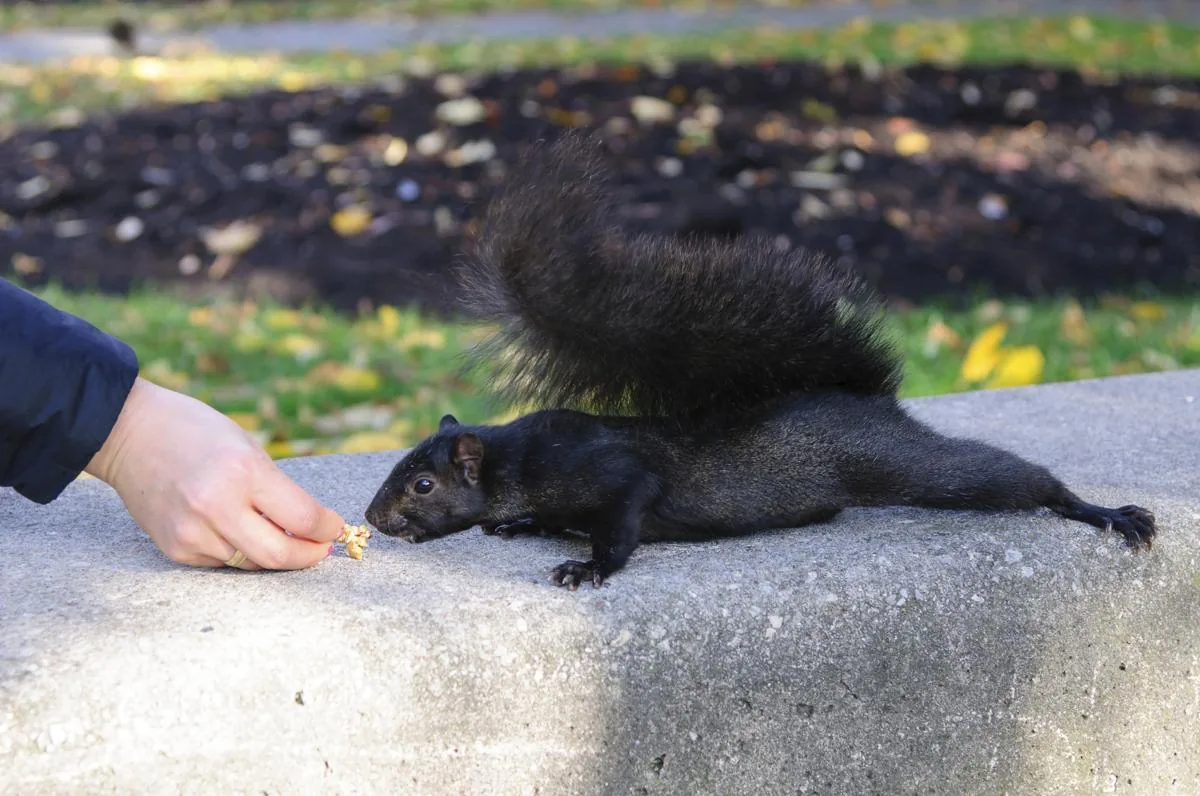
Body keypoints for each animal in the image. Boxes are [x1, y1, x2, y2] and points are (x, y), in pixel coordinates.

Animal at [364, 130, 1156, 589]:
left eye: (424, 485)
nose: (373, 517)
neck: (515, 460)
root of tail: (867, 397)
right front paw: (525, 525)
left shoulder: (613, 473)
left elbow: (621, 524)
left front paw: (586, 565)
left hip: (902, 462)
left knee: (1009, 478)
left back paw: (1101, 511)